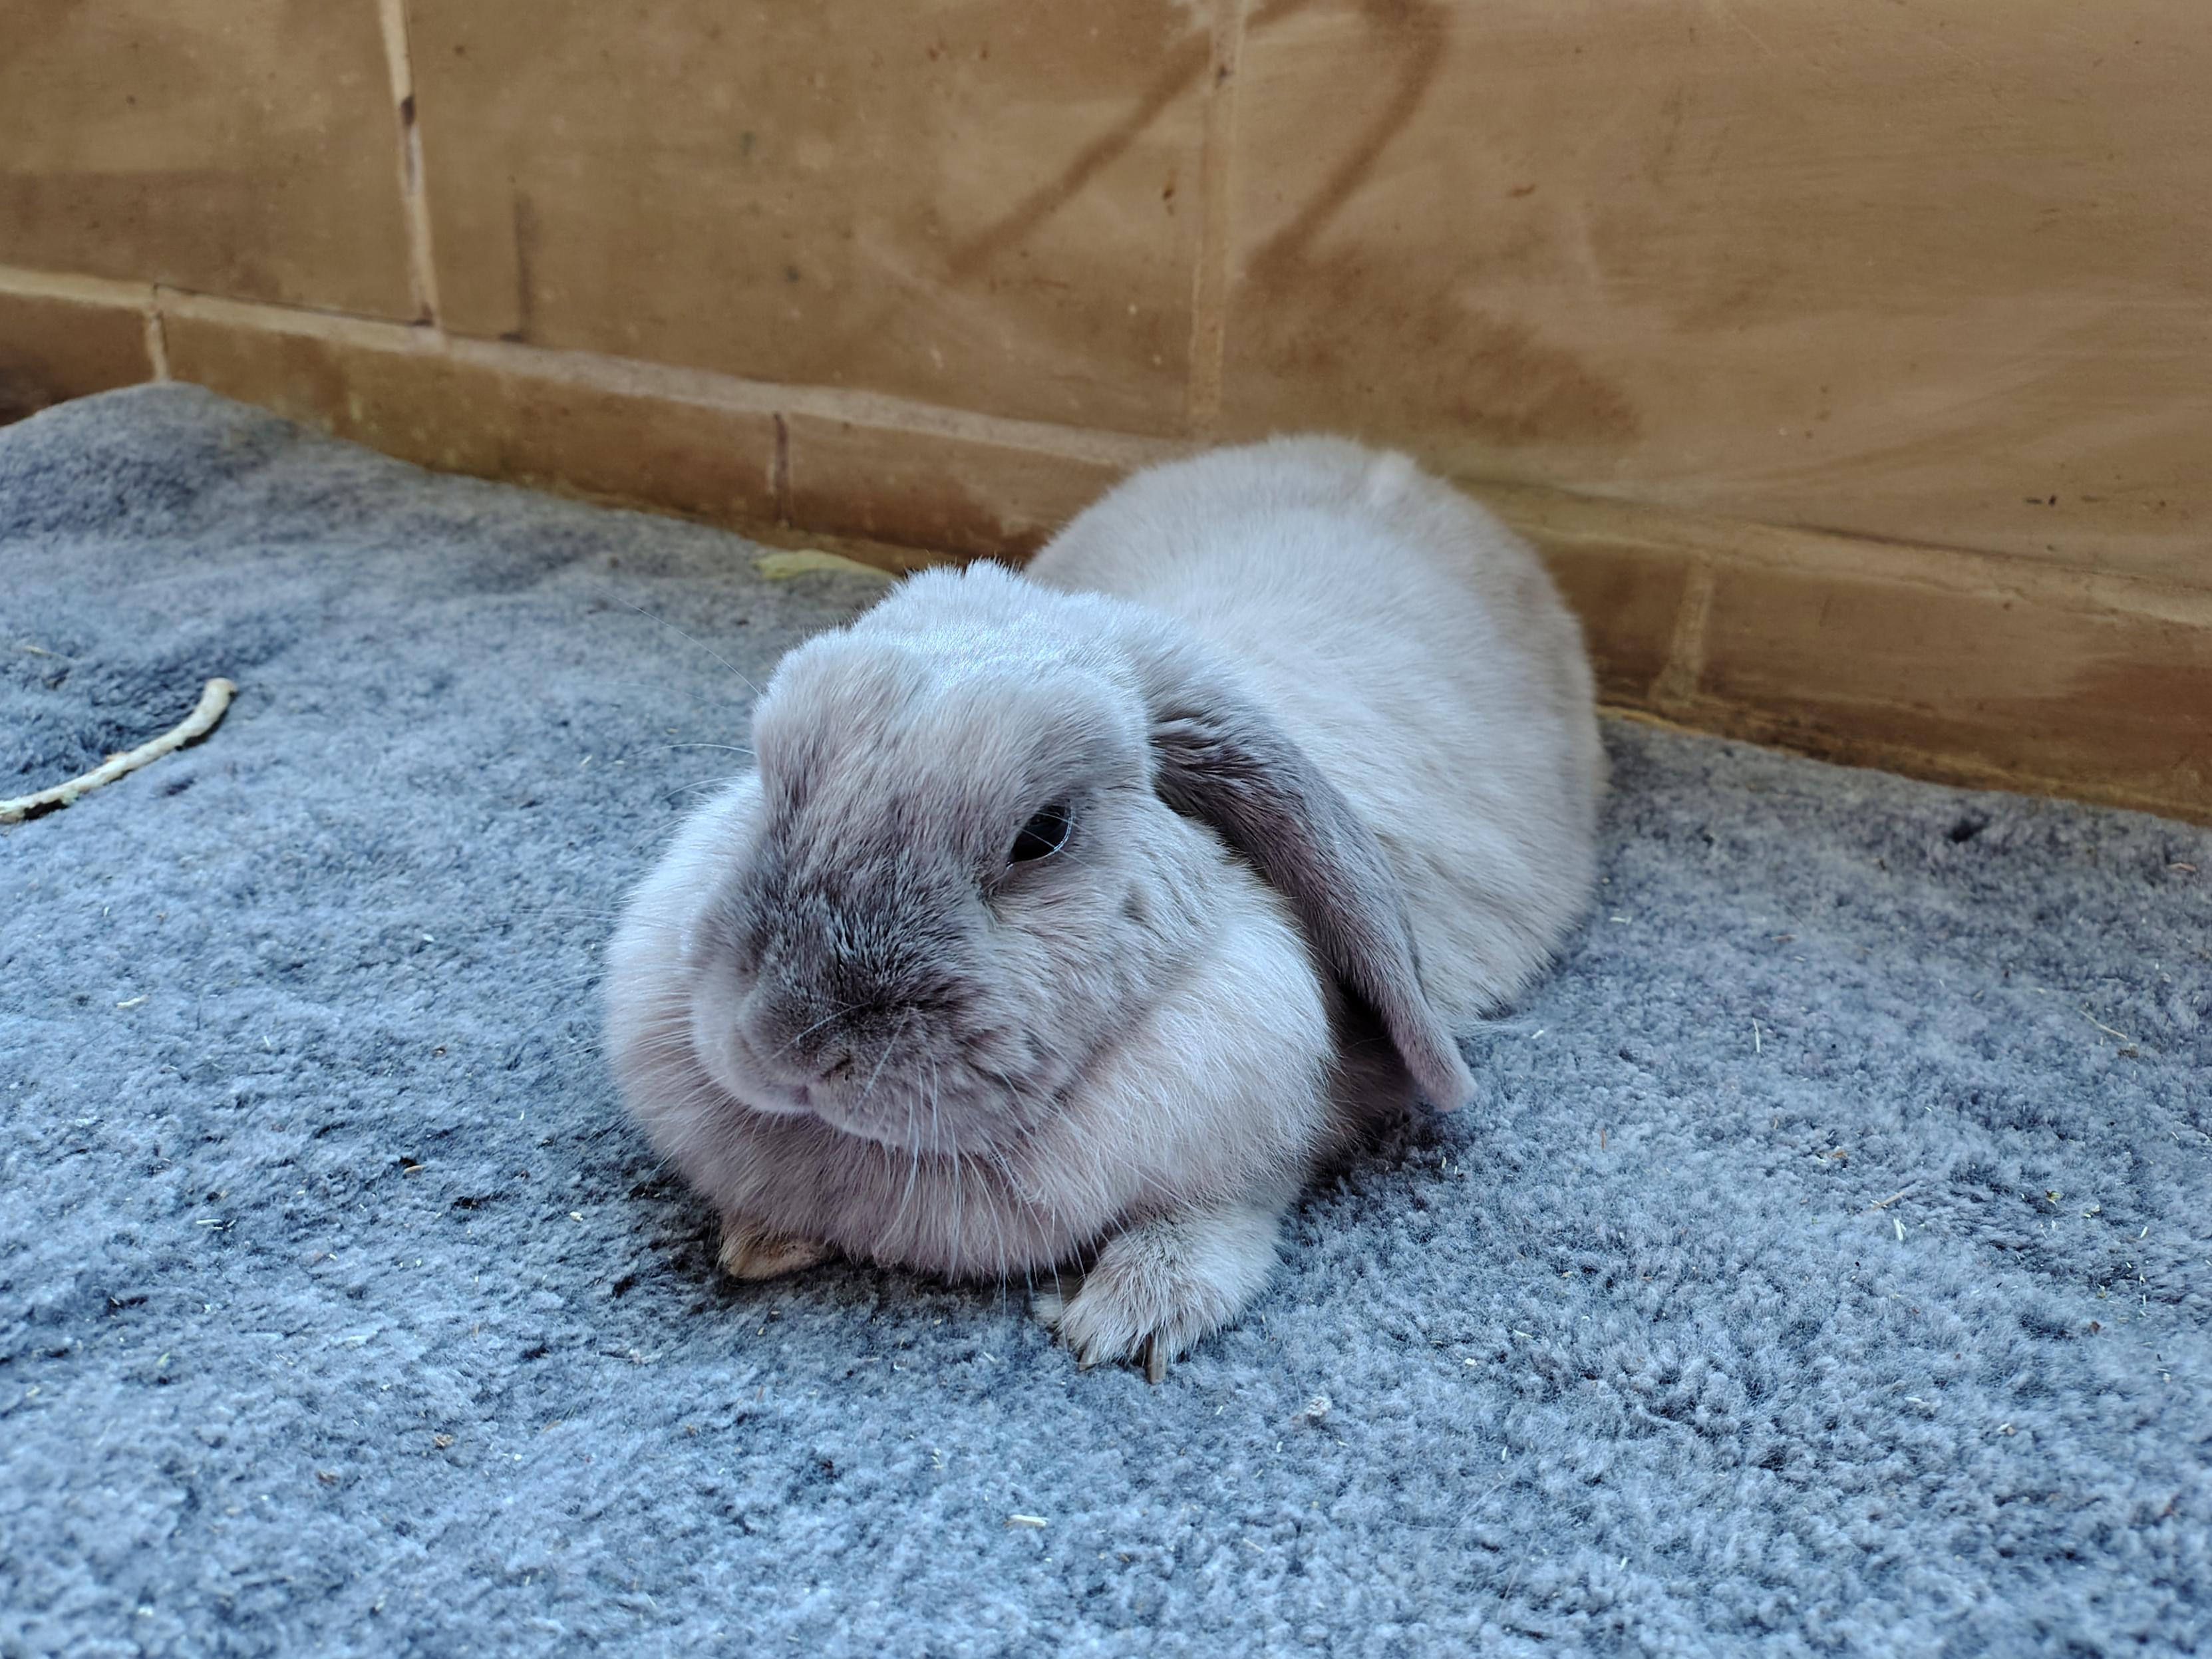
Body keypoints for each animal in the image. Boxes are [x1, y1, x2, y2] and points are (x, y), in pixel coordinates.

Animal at [603, 435, 1602, 1379]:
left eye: (1042, 833)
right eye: (773, 779)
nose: (790, 1049)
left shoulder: (1264, 1134)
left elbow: (1237, 1204)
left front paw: (1127, 1316)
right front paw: (758, 1237)